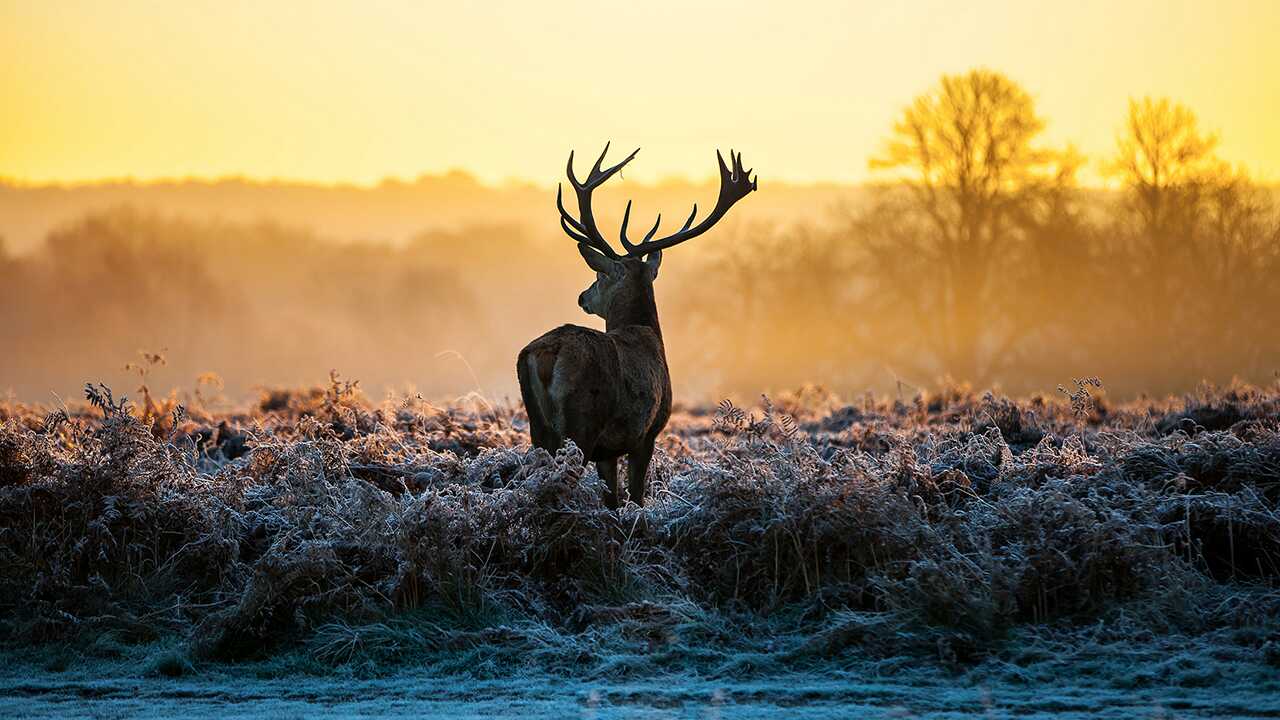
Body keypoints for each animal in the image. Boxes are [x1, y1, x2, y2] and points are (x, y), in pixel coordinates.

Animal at [514, 142, 752, 507]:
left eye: (599, 277)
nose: (582, 296)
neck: (647, 332)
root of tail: (545, 355)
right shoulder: (646, 433)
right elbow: (636, 496)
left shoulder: (609, 450)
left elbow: (612, 498)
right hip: (582, 423)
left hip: (538, 427)